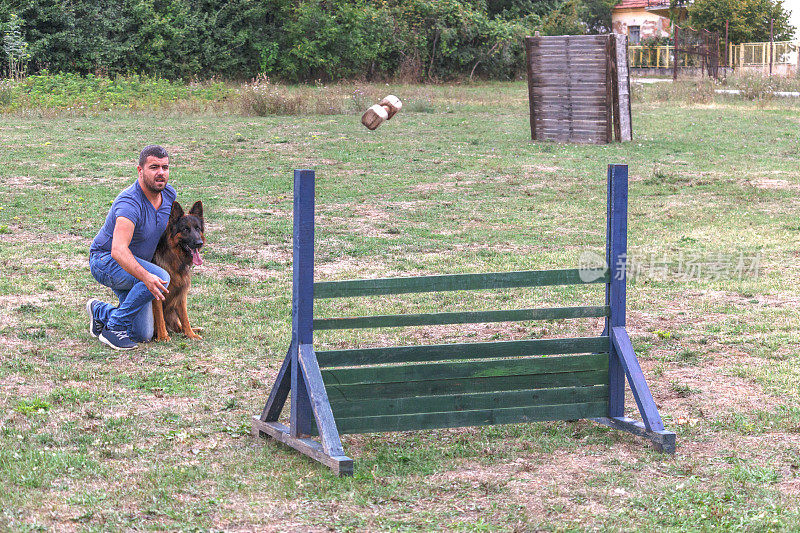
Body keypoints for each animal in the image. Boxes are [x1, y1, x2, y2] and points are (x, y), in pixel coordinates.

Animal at [152, 200, 205, 340]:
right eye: (185, 229)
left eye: (197, 228)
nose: (199, 243)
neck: (175, 259)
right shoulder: (157, 293)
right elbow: (159, 316)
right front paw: (163, 337)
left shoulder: (181, 293)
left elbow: (185, 317)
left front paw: (190, 334)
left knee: (179, 326)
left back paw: (195, 329)